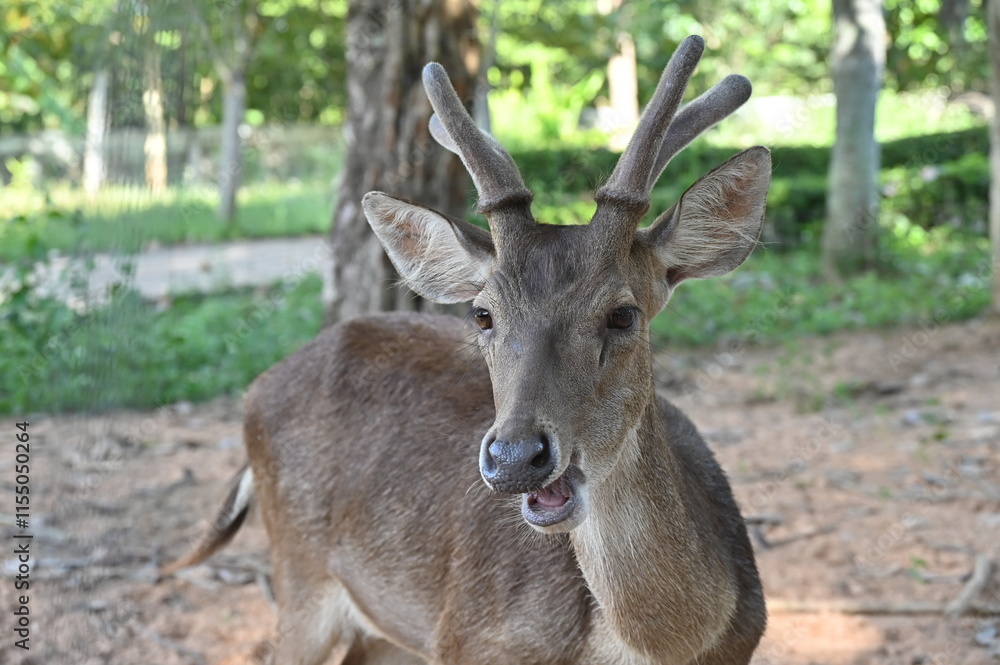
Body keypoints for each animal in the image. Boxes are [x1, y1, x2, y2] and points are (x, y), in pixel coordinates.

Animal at [162, 35, 771, 665]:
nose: (516, 457)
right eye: (483, 314)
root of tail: (259, 389)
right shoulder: (468, 640)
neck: (668, 641)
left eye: (623, 313)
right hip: (300, 578)